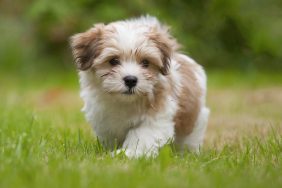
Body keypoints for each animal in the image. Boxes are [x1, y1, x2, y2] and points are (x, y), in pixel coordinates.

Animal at [70, 15, 209, 158]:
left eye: (145, 62)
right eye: (113, 61)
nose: (131, 80)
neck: (125, 102)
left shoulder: (157, 116)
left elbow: (142, 135)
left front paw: (129, 153)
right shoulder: (103, 120)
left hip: (196, 118)